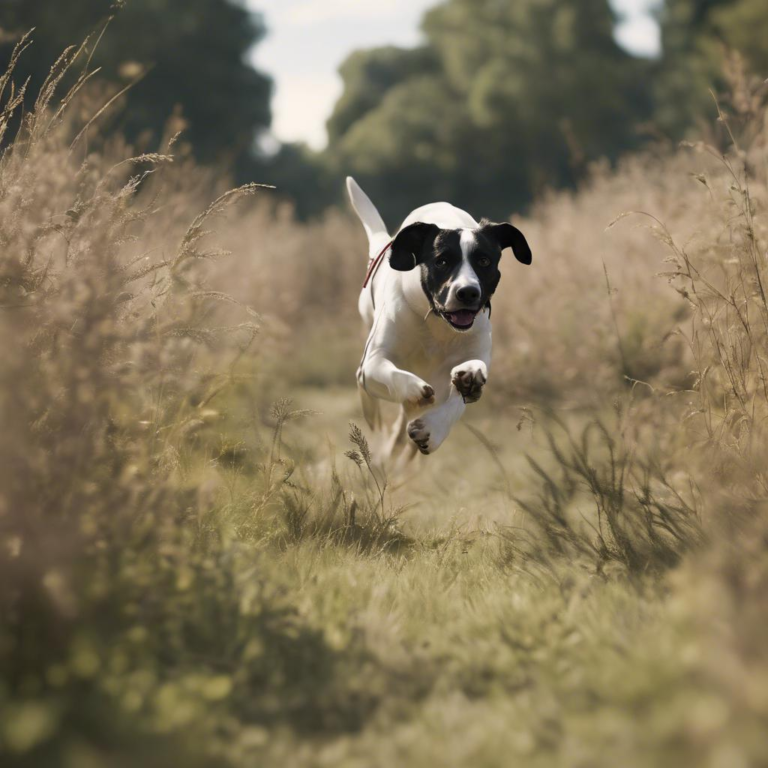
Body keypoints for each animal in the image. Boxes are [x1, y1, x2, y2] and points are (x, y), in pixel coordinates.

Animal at [346, 177, 532, 464]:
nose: (468, 292)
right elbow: (388, 372)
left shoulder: (472, 356)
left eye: (484, 260)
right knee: (365, 386)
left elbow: (461, 395)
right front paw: (413, 389)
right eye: (442, 261)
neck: (438, 325)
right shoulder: (375, 361)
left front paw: (434, 428)